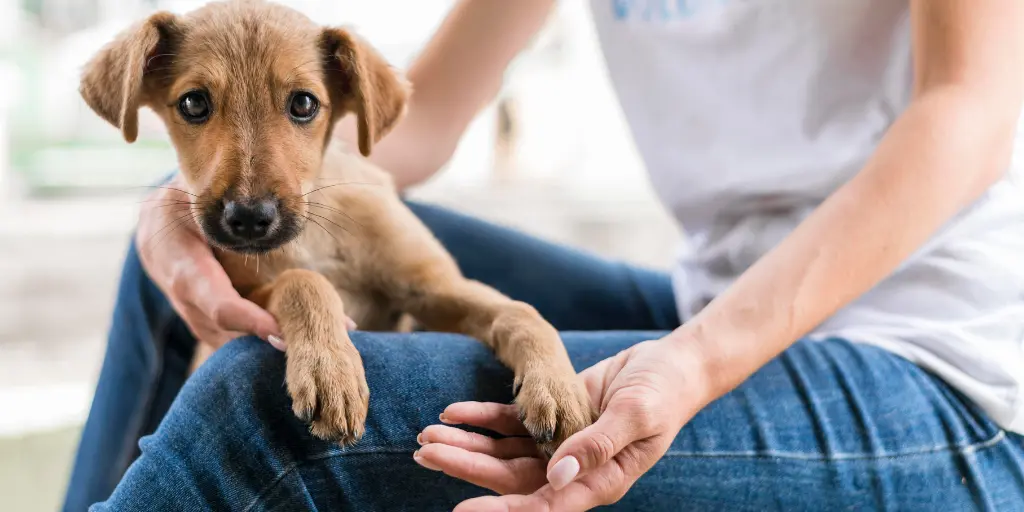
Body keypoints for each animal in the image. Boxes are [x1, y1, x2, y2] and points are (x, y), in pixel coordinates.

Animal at [79, 0, 593, 456]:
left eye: (304, 103)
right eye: (193, 103)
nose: (249, 219)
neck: (314, 232)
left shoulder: (435, 289)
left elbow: (521, 312)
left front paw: (559, 388)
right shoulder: (243, 297)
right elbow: (302, 281)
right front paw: (331, 370)